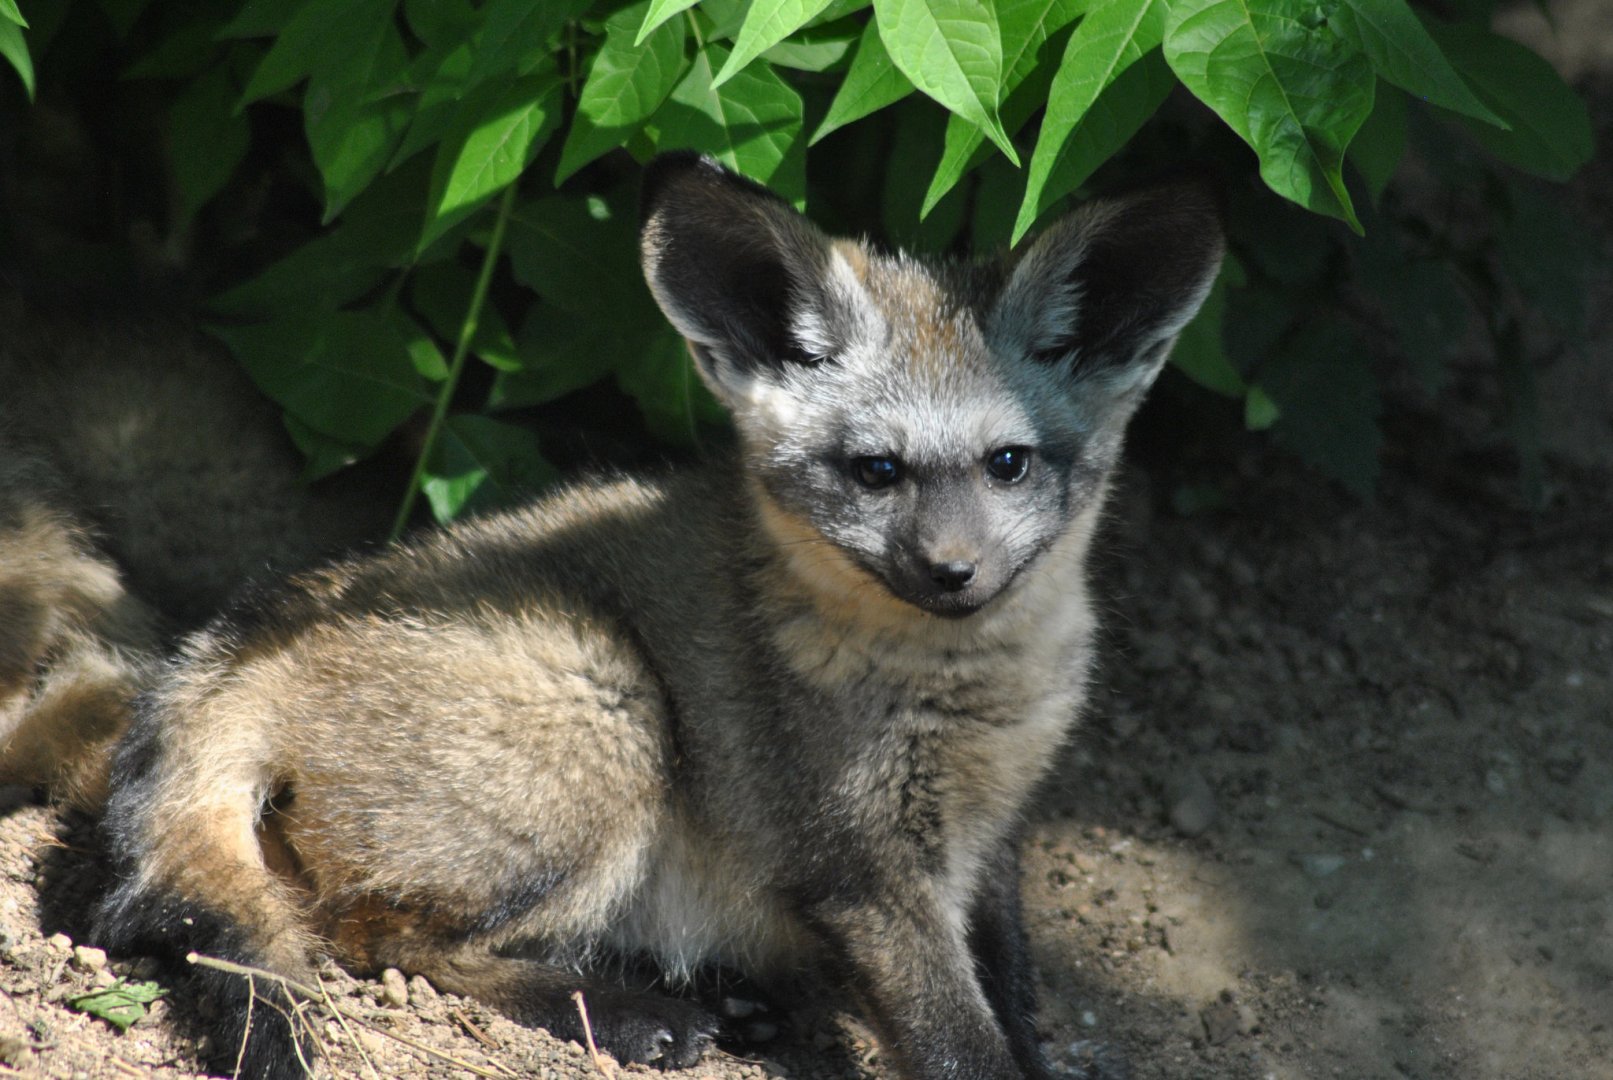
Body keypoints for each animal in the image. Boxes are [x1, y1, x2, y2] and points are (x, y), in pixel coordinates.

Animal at [94, 152, 1222, 1080]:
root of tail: (246, 637)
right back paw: (630, 1014)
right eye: (875, 472)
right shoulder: (859, 869)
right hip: (614, 726)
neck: (970, 699)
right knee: (376, 940)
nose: (953, 574)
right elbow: (958, 1042)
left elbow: (1015, 1007)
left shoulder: (994, 842)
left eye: (1008, 463)